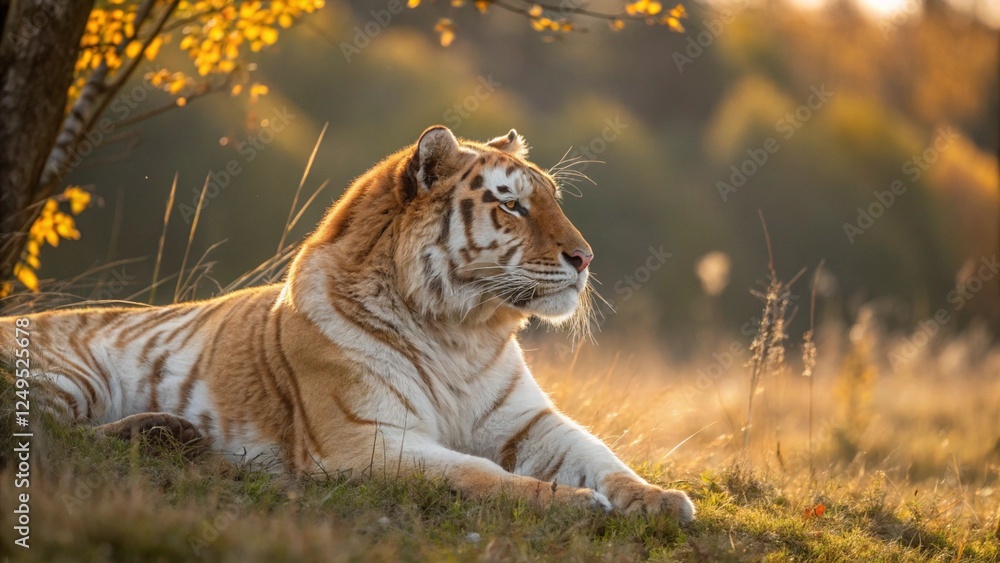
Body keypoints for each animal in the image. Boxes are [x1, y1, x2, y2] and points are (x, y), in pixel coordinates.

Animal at [0, 126, 694, 522]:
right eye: (512, 205)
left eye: (551, 197)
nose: (586, 258)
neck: (461, 332)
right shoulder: (366, 440)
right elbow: (475, 473)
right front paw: (575, 505)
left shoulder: (531, 423)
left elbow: (600, 455)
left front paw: (659, 500)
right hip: (69, 378)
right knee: (48, 438)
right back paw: (171, 440)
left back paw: (172, 433)